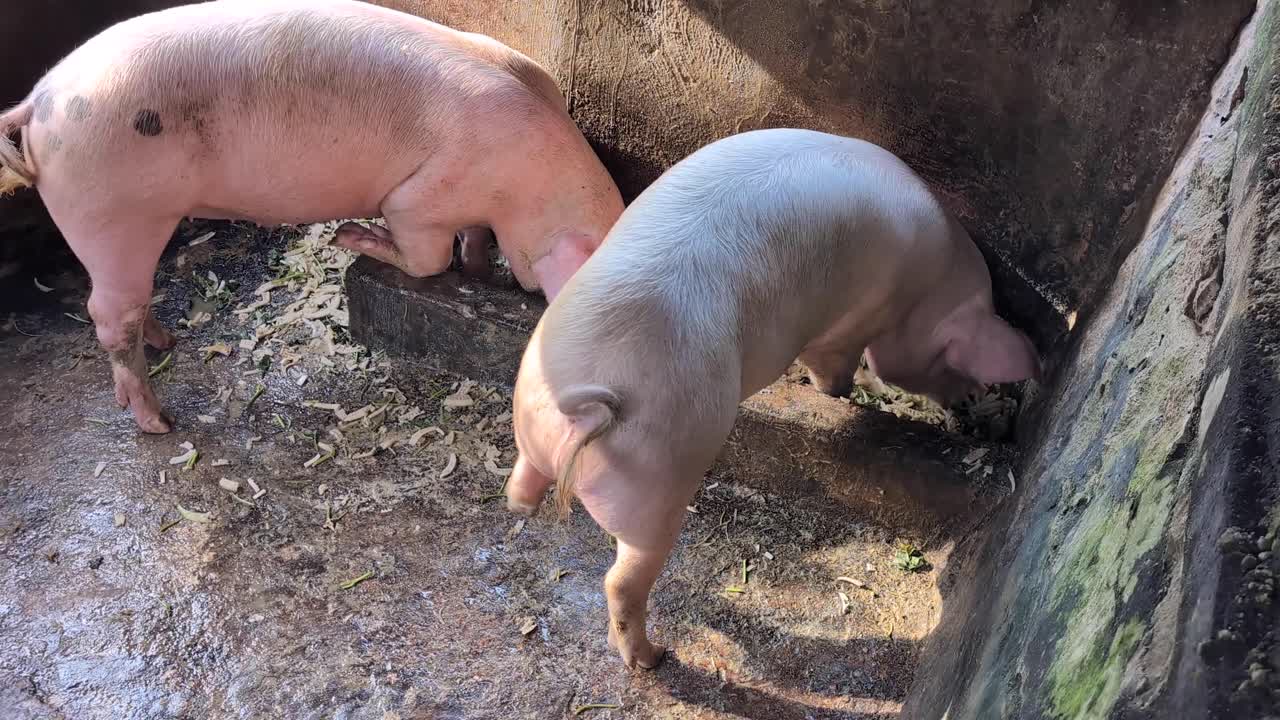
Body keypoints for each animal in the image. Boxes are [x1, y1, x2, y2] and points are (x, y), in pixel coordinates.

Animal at [0, 0, 623, 433]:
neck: (526, 188)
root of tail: (37, 103)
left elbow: (472, 241)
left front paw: (475, 271)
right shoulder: (420, 198)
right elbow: (424, 259)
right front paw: (352, 236)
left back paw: (167, 341)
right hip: (109, 211)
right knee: (107, 314)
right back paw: (158, 421)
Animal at [505, 128, 1041, 669]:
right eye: (955, 364)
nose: (967, 406)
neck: (928, 287)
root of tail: (591, 407)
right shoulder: (854, 321)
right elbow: (833, 365)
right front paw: (845, 394)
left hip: (535, 417)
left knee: (524, 479)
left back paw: (522, 508)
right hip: (655, 483)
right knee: (622, 579)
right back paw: (652, 658)